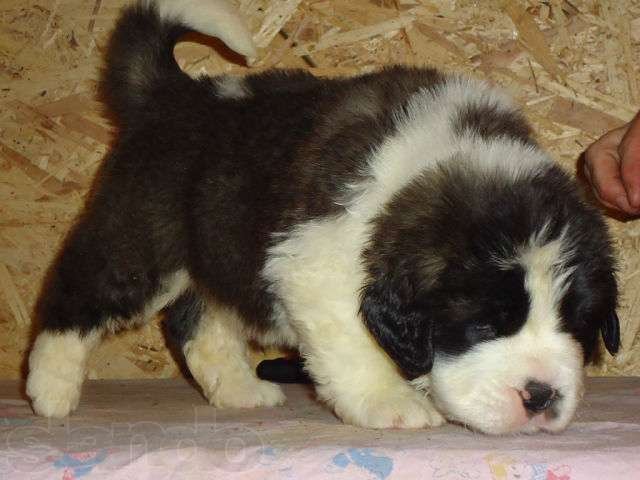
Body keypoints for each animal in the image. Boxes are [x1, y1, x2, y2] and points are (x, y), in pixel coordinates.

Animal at [26, 0, 620, 436]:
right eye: (485, 325)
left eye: (575, 326)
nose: (541, 396)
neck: (437, 163)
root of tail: (172, 92)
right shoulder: (313, 262)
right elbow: (356, 344)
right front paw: (392, 403)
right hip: (141, 244)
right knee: (79, 295)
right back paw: (50, 391)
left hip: (222, 248)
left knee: (200, 323)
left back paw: (241, 391)